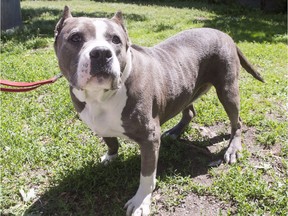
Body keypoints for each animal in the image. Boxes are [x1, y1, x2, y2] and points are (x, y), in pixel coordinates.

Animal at [54, 6, 266, 216]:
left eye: (115, 40)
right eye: (75, 38)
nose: (101, 53)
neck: (101, 96)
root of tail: (224, 33)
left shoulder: (150, 139)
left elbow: (147, 176)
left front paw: (141, 202)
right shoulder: (99, 125)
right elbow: (111, 141)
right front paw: (110, 157)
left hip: (227, 89)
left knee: (237, 121)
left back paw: (233, 149)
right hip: (185, 88)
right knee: (189, 112)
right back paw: (174, 132)